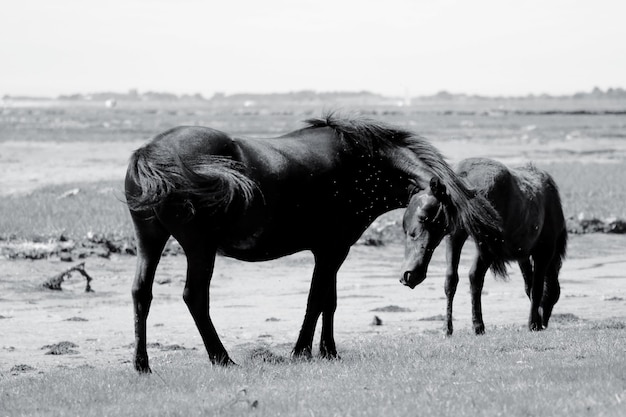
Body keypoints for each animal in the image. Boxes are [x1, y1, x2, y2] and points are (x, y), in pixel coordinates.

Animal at [125, 113, 502, 370]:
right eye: (425, 219)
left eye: (441, 228)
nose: (413, 276)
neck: (355, 163)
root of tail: (151, 151)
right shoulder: (332, 250)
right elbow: (317, 300)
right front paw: (303, 351)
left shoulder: (332, 251)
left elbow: (327, 302)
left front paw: (328, 351)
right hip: (199, 249)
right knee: (195, 298)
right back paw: (222, 359)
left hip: (150, 239)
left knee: (142, 293)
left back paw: (142, 365)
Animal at [400, 158, 564, 334]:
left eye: (423, 217)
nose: (408, 275)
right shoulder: (455, 238)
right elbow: (452, 279)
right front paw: (448, 328)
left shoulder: (491, 247)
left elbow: (475, 278)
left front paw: (478, 325)